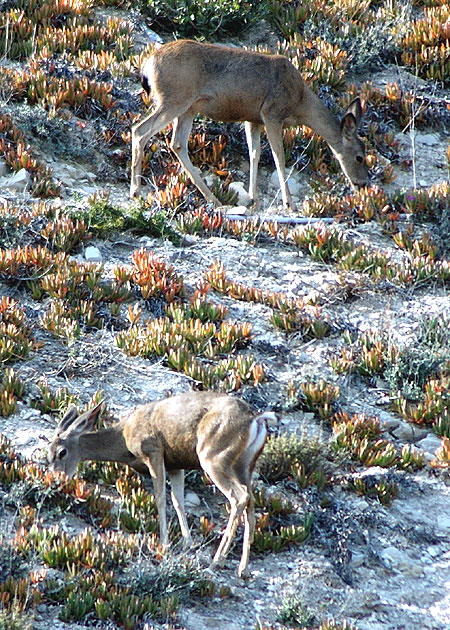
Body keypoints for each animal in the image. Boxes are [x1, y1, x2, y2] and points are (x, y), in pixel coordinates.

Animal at [47, 392, 272, 580]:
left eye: (61, 452)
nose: (55, 477)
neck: (124, 440)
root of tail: (255, 419)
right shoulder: (175, 465)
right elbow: (178, 501)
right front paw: (186, 543)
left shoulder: (152, 451)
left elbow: (160, 498)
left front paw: (164, 543)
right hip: (244, 465)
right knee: (250, 501)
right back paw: (243, 569)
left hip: (213, 456)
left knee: (239, 497)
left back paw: (216, 562)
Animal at [128, 40, 368, 212]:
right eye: (359, 157)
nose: (363, 183)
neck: (300, 101)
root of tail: (148, 64)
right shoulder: (272, 113)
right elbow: (278, 157)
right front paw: (289, 203)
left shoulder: (253, 120)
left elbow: (255, 154)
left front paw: (254, 199)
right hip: (174, 99)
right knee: (140, 131)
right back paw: (135, 191)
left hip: (188, 108)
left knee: (177, 144)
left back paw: (214, 199)